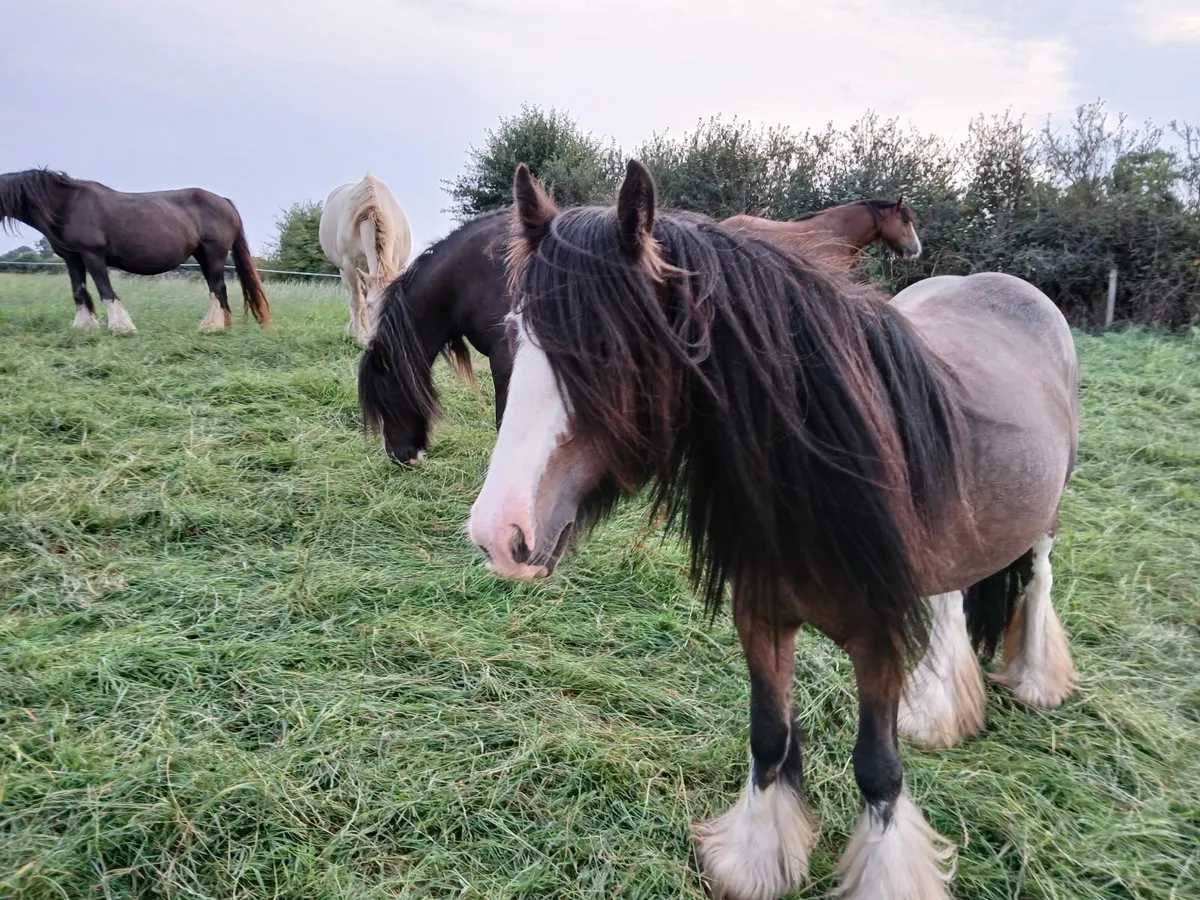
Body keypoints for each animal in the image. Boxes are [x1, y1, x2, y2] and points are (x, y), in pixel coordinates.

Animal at [0, 168, 271, 333]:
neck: (66, 205)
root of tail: (224, 201)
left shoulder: (92, 255)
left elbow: (105, 291)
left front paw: (122, 327)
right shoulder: (72, 259)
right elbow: (79, 292)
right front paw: (84, 326)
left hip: (214, 254)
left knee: (216, 288)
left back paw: (210, 326)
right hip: (203, 256)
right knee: (219, 289)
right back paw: (222, 325)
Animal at [319, 173, 412, 344]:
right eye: (370, 305)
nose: (381, 337)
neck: (369, 212)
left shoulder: (394, 262)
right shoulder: (349, 265)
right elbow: (358, 301)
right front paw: (360, 336)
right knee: (353, 296)